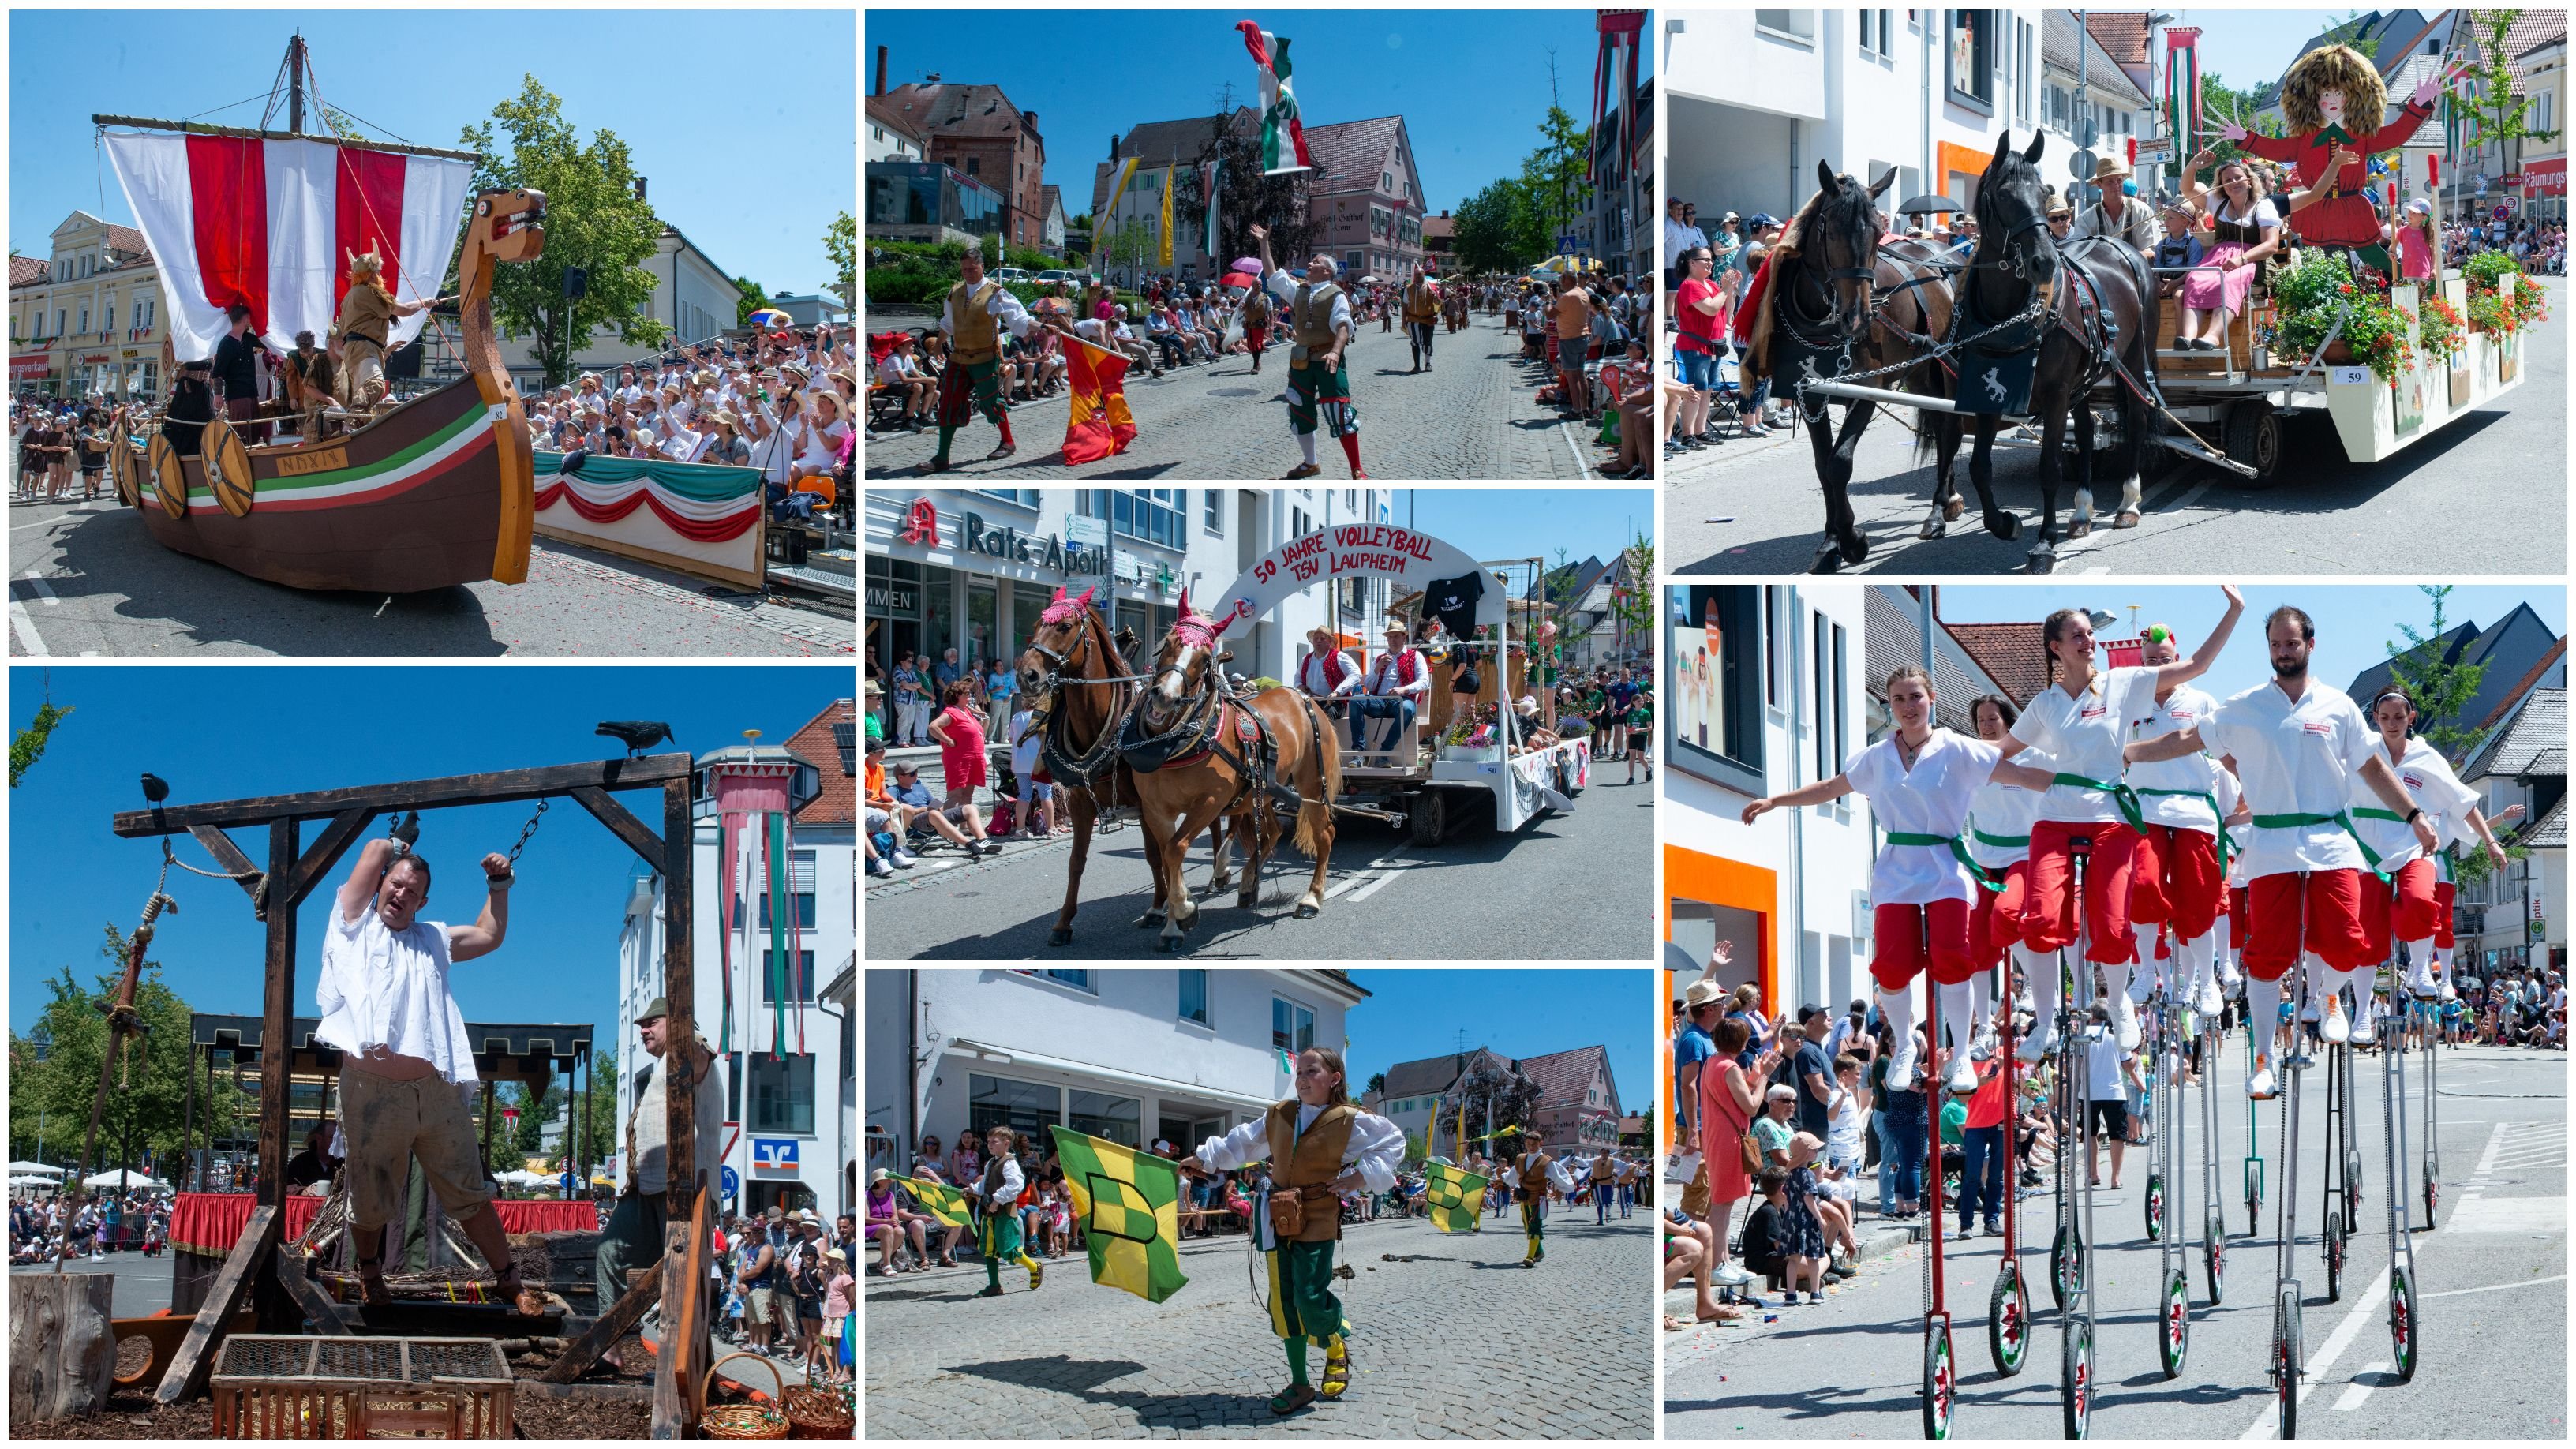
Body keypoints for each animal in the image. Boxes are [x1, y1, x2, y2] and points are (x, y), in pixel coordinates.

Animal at [1123, 587, 1339, 949]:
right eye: (1169, 643)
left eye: (1204, 658)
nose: (1165, 696)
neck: (1178, 741)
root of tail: (1305, 698)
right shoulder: (1155, 810)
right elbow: (1167, 858)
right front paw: (1173, 925)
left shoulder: (1209, 804)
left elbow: (1176, 849)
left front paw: (1185, 910)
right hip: (1264, 791)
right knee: (1274, 832)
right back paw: (1249, 883)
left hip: (1310, 785)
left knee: (1325, 834)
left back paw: (1311, 897)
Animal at [1762, 156, 2019, 564]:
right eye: (1831, 233)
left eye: (1878, 234)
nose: (1858, 317)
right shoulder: (1812, 395)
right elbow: (1822, 466)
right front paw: (1831, 543)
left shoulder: (1867, 390)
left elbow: (1839, 463)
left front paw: (1851, 539)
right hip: (1918, 372)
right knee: (1943, 426)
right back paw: (1947, 501)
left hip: (1945, 367)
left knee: (1950, 430)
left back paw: (1938, 510)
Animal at [1937, 128, 2153, 569]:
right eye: (2003, 195)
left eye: (2044, 193)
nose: (2045, 262)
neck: (2008, 314)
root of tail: (2120, 247)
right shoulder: (1988, 392)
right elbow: (1980, 467)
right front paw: (2005, 523)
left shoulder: (2054, 395)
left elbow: (2049, 467)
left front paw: (2044, 542)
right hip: (2086, 378)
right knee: (2086, 431)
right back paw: (2083, 511)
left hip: (2134, 362)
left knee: (2138, 418)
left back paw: (2128, 503)